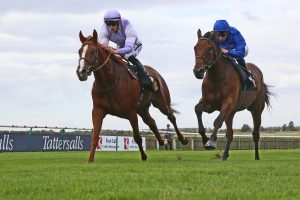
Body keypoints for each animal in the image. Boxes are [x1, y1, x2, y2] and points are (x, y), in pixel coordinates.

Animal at [75, 29, 188, 162]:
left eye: (94, 51)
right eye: (79, 51)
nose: (81, 72)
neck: (110, 82)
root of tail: (156, 73)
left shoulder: (131, 113)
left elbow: (137, 137)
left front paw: (144, 156)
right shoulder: (98, 110)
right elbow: (95, 136)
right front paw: (90, 160)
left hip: (161, 102)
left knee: (171, 116)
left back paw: (182, 139)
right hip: (142, 109)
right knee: (151, 122)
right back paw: (162, 141)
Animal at [193, 30, 274, 161]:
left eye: (209, 49)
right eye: (195, 48)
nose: (198, 71)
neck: (217, 77)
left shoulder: (228, 103)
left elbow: (217, 121)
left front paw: (211, 141)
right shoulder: (209, 104)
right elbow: (197, 109)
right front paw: (205, 139)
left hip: (256, 110)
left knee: (255, 133)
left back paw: (257, 157)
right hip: (231, 113)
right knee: (230, 133)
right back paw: (225, 155)